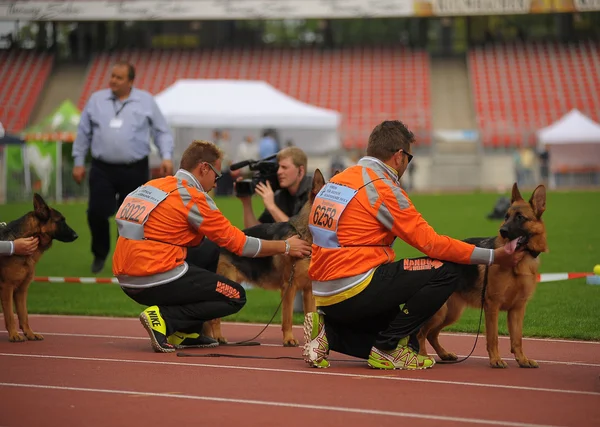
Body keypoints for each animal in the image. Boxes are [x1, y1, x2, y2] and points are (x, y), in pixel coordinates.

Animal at [0, 196, 78, 342]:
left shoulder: (21, 290)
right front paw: (14, 334)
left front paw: (29, 333)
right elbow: (10, 315)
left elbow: (24, 314)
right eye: (61, 221)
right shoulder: (7, 288)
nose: (76, 235)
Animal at [206, 169, 328, 346]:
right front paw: (289, 339)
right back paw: (216, 338)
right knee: (213, 319)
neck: (304, 235)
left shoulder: (309, 290)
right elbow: (288, 318)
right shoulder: (289, 287)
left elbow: (310, 318)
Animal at [420, 184, 548, 368]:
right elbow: (493, 337)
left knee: (431, 334)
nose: (503, 231)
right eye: (506, 217)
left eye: (520, 217)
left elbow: (517, 339)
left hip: (450, 313)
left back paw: (444, 354)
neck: (520, 260)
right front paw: (495, 360)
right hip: (439, 312)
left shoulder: (517, 309)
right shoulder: (492, 306)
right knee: (419, 333)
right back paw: (422, 356)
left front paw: (522, 359)